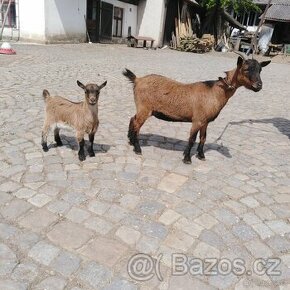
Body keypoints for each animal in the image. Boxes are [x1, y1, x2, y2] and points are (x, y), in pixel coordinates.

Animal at [122, 53, 270, 164]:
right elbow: (192, 139)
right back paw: (137, 148)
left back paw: (130, 141)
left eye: (260, 70)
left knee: (132, 119)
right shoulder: (197, 120)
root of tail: (137, 79)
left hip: (142, 108)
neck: (215, 92)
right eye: (246, 69)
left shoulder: (205, 122)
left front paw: (201, 155)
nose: (259, 86)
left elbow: (203, 138)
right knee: (136, 124)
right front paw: (187, 158)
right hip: (144, 108)